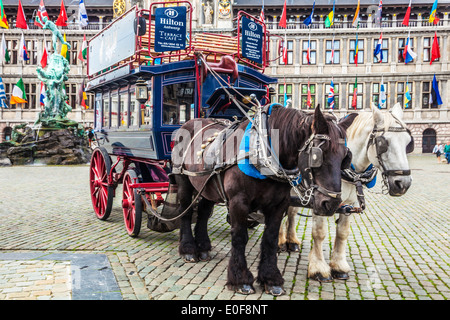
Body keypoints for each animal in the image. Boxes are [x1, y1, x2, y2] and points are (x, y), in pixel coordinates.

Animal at [171, 105, 356, 296]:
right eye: (318, 155)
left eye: (345, 158)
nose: (332, 204)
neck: (262, 152)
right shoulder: (238, 202)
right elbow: (240, 237)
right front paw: (240, 280)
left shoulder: (279, 204)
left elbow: (270, 238)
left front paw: (271, 279)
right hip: (183, 179)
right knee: (185, 212)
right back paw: (188, 249)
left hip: (207, 185)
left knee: (203, 212)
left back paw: (203, 247)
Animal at [280, 104, 414, 282]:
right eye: (383, 143)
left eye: (407, 142)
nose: (403, 184)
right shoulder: (320, 200)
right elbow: (319, 232)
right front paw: (318, 268)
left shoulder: (349, 204)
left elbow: (343, 233)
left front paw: (338, 266)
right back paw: (280, 242)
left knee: (292, 212)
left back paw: (291, 241)